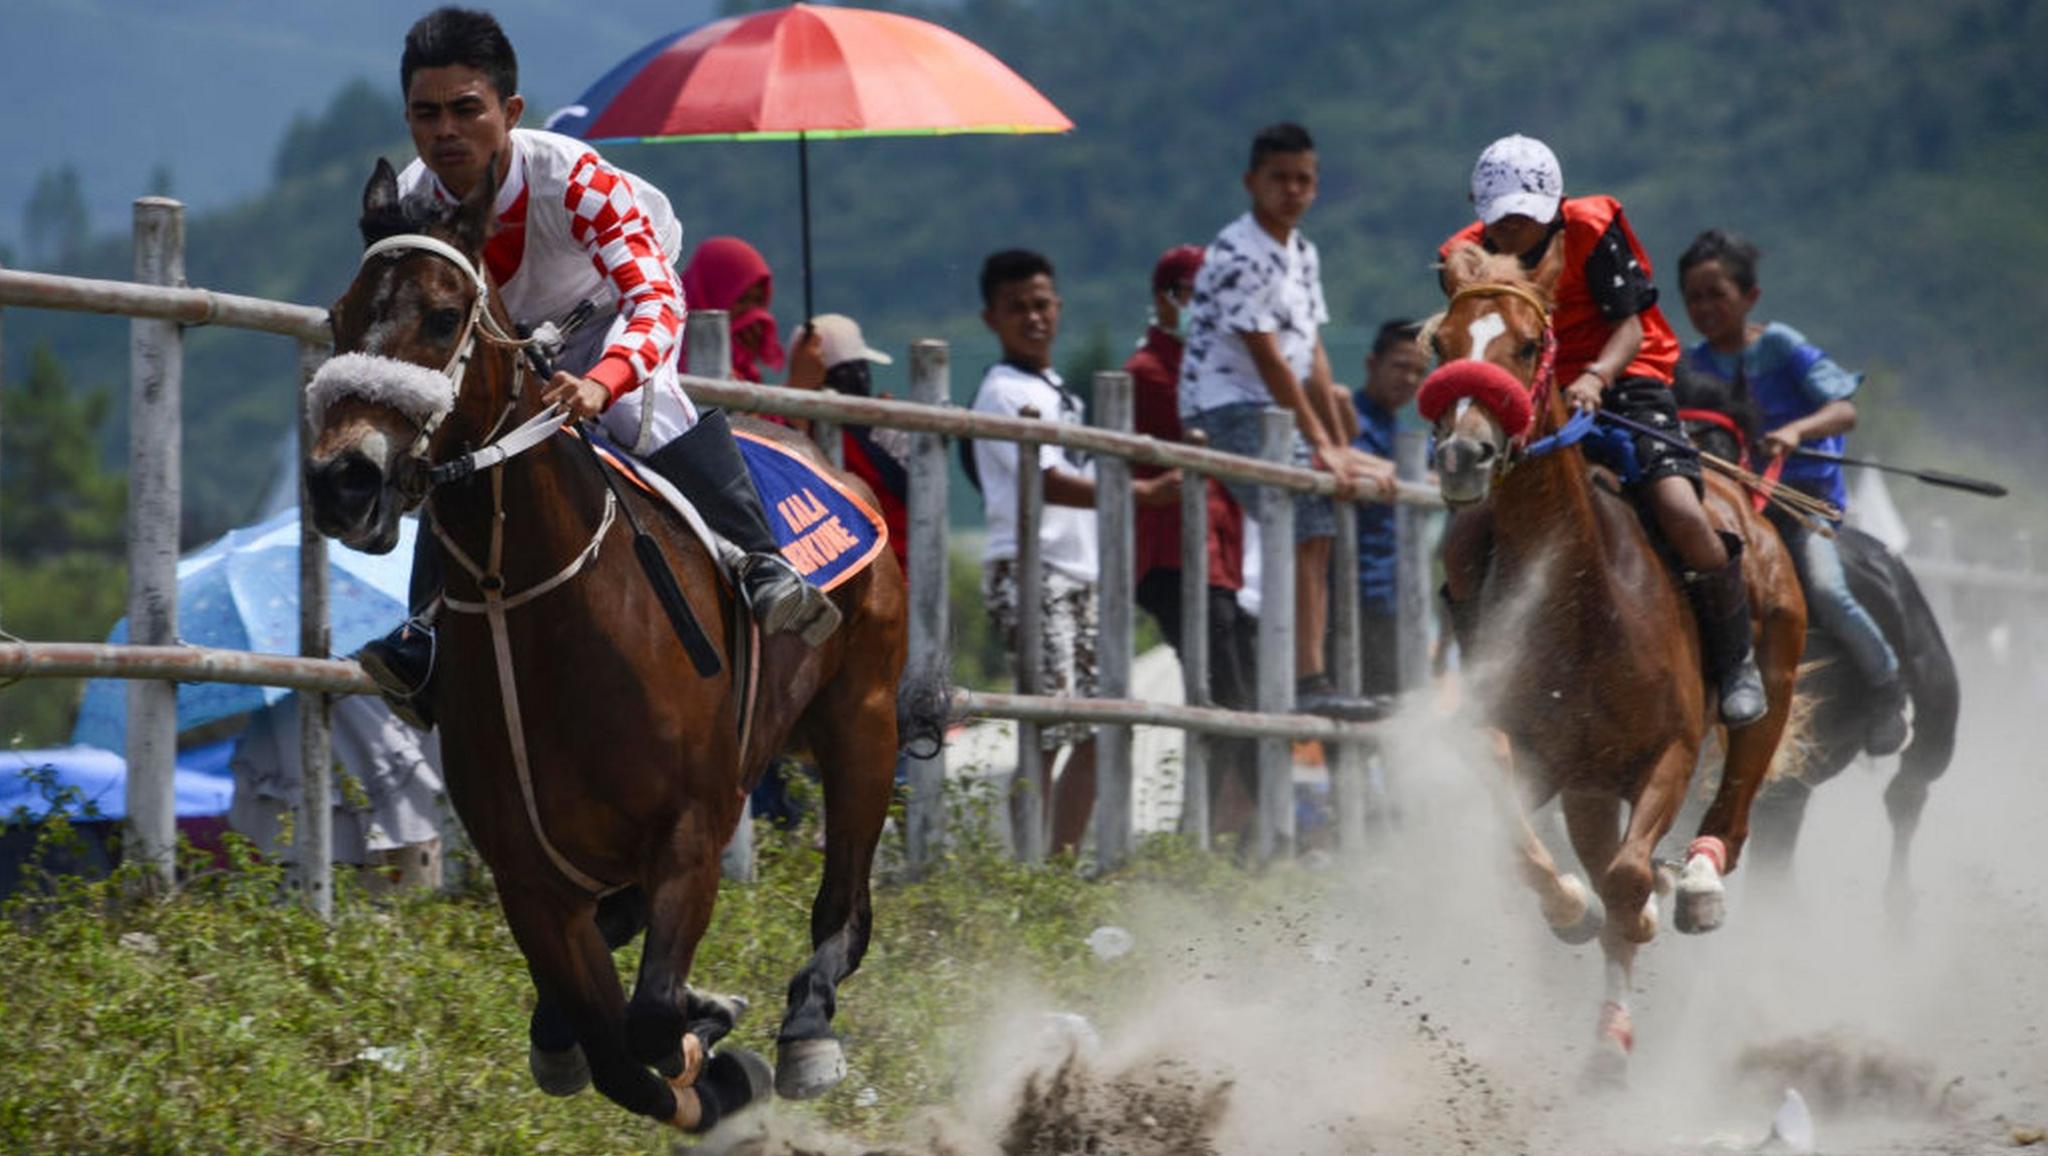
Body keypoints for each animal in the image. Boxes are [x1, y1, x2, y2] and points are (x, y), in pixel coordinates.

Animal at [301, 159, 929, 1131]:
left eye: (442, 317)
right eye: (340, 314)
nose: (344, 479)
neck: (543, 613)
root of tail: (828, 460)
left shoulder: (691, 834)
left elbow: (649, 1022)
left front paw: (715, 1055)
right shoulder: (529, 878)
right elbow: (608, 1048)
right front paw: (703, 1045)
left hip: (861, 723)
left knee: (845, 908)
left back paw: (807, 1027)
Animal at [1417, 245, 1802, 1082]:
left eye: (1529, 343)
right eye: (1441, 345)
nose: (1463, 453)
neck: (1584, 605)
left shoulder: (1671, 751)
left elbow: (1627, 880)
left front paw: (1652, 900)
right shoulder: (1532, 757)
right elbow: (1536, 856)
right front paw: (1571, 907)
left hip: (1774, 679)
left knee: (1735, 809)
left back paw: (1694, 885)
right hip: (1589, 791)